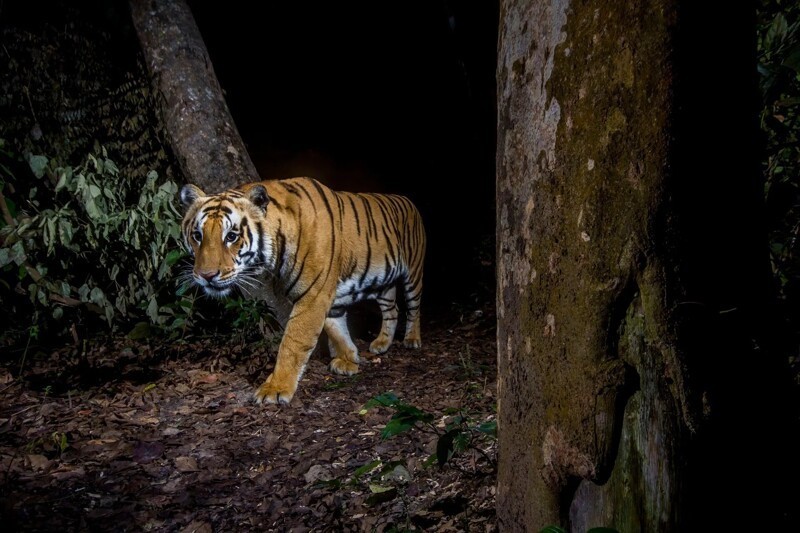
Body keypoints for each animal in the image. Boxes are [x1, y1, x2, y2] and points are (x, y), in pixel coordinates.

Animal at [180, 176, 424, 404]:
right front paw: (349, 359)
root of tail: (408, 200)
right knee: (392, 310)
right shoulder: (327, 296)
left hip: (413, 271)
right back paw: (382, 344)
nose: (206, 275)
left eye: (231, 236)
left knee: (414, 307)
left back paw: (412, 339)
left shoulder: (314, 295)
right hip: (383, 283)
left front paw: (275, 389)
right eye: (197, 236)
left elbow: (293, 343)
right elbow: (336, 327)